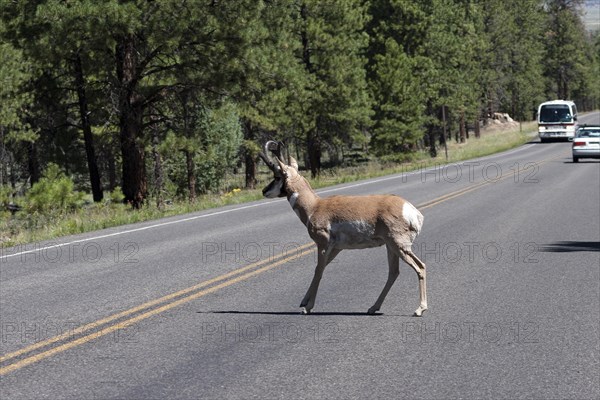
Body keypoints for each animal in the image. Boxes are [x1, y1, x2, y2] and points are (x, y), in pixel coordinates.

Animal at [262, 141, 426, 316]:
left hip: (399, 246)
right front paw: (304, 301)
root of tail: (412, 210)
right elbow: (321, 268)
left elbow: (319, 270)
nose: (264, 191)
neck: (315, 206)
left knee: (420, 267)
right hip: (391, 247)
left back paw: (419, 309)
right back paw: (373, 307)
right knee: (394, 272)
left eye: (277, 176)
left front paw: (308, 307)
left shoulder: (323, 244)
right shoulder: (336, 248)